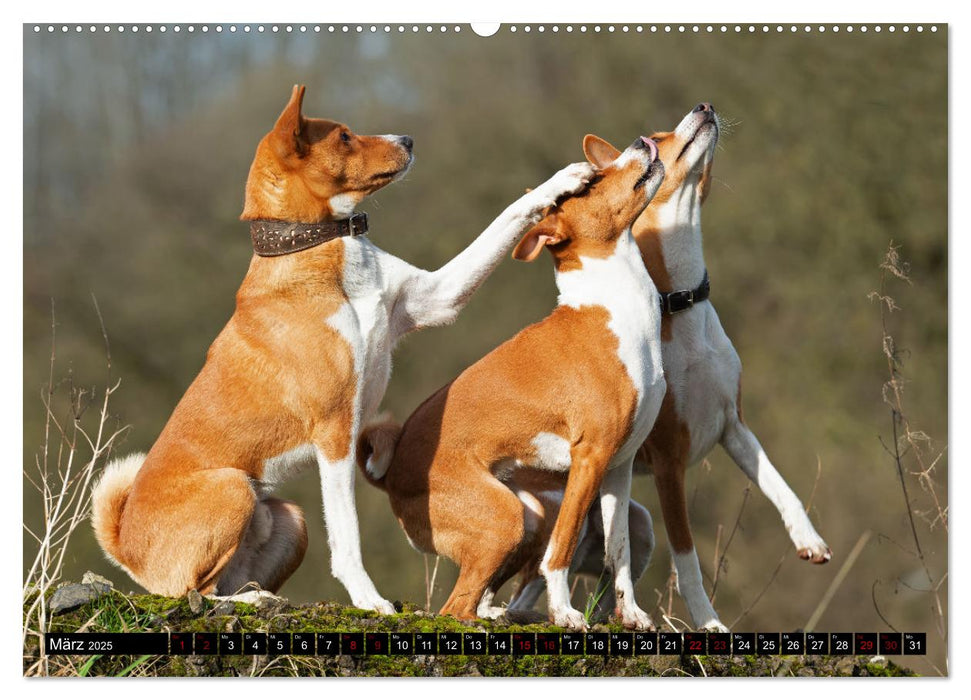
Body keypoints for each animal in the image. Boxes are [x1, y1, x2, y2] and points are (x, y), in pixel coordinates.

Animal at [93, 83, 592, 612]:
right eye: (345, 137)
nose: (408, 138)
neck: (321, 248)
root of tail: (127, 545)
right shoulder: (334, 431)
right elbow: (348, 535)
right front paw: (370, 601)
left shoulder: (437, 298)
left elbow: (505, 219)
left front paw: (562, 180)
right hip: (233, 487)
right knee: (193, 592)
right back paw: (249, 604)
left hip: (288, 518)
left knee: (223, 583)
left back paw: (259, 596)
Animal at [356, 135, 668, 628]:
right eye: (595, 179)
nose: (643, 141)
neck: (616, 309)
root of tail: (391, 475)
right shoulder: (590, 457)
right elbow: (563, 548)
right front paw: (565, 613)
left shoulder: (619, 466)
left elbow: (618, 552)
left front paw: (632, 615)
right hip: (507, 519)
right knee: (455, 607)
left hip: (528, 516)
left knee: (479, 595)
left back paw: (502, 613)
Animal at [504, 105, 832, 636]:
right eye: (657, 138)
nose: (705, 107)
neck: (681, 306)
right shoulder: (669, 462)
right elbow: (689, 560)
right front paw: (710, 624)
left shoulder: (733, 425)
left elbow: (781, 486)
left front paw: (809, 539)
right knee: (524, 581)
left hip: (632, 526)